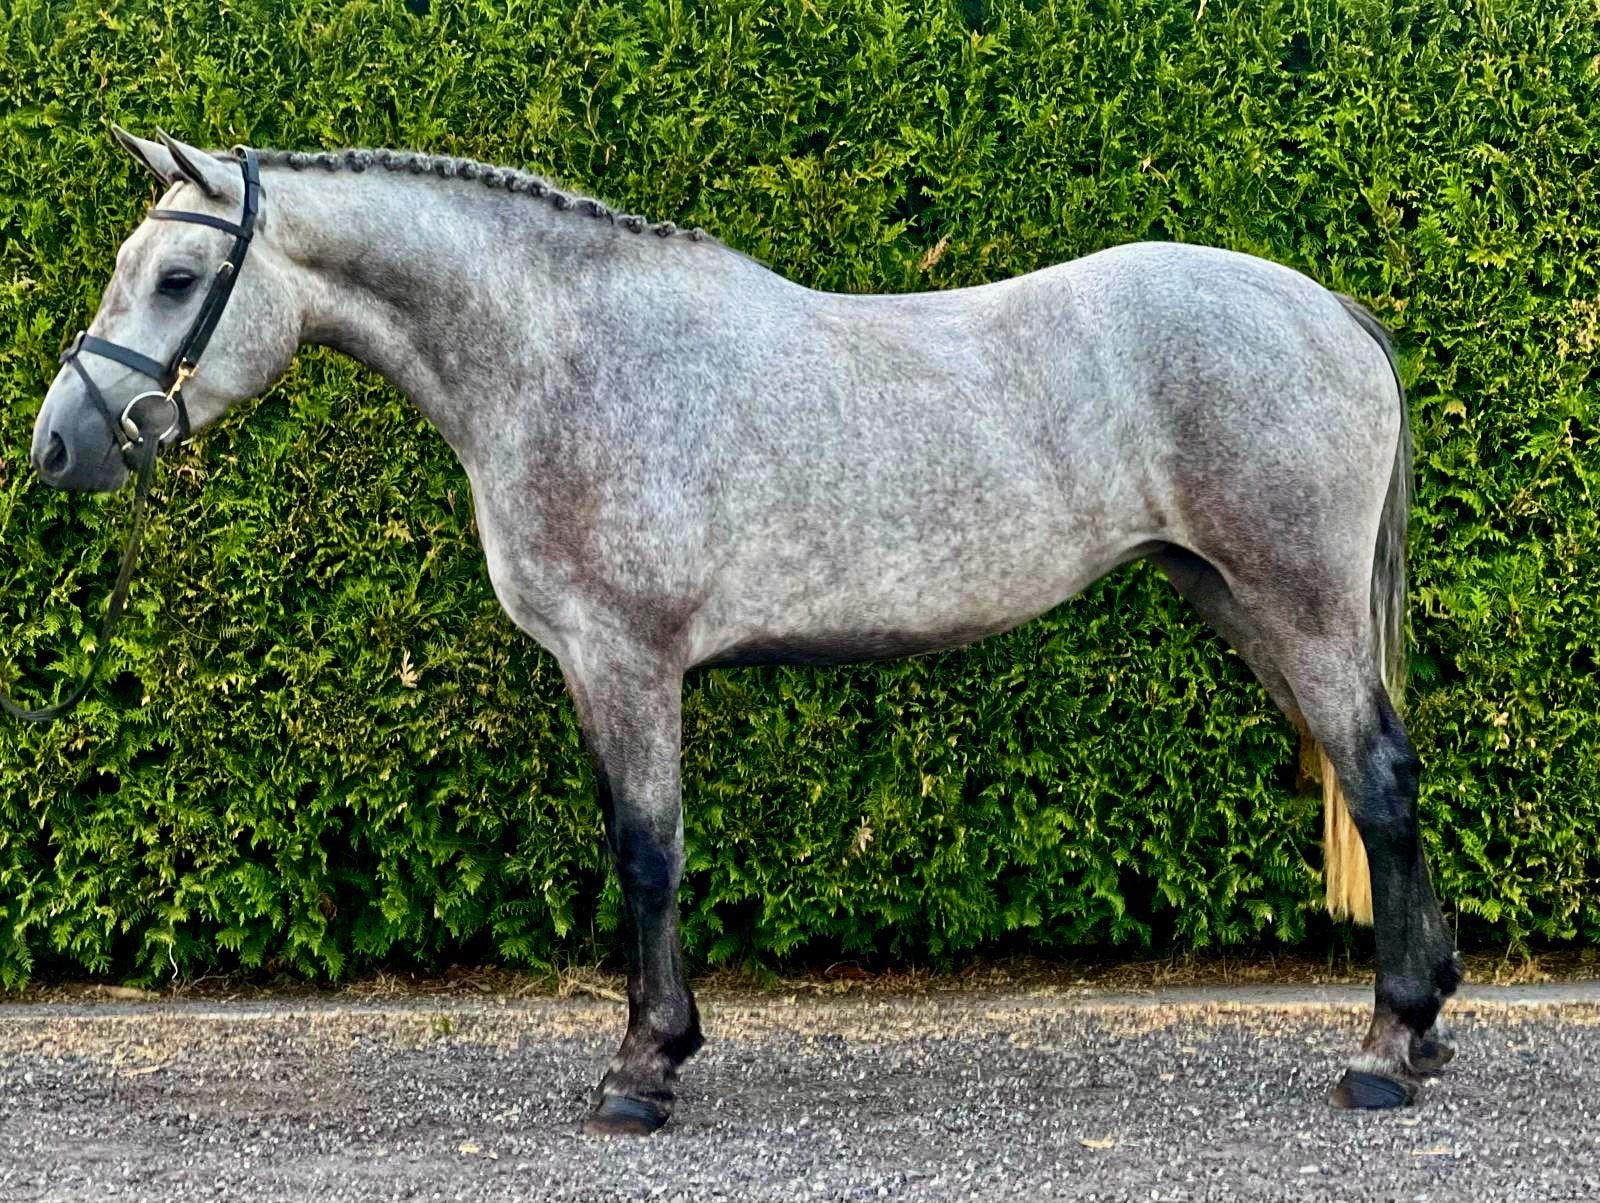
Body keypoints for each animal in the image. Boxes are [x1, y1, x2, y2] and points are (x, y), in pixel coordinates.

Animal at [20, 127, 1461, 1134]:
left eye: (181, 277)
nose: (58, 444)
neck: (566, 358)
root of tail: (1329, 310)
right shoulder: (600, 667)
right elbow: (638, 847)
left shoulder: (626, 658)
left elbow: (647, 852)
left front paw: (642, 1069)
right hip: (1234, 595)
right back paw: (1425, 1022)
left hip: (1298, 601)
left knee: (1382, 780)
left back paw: (1388, 1052)